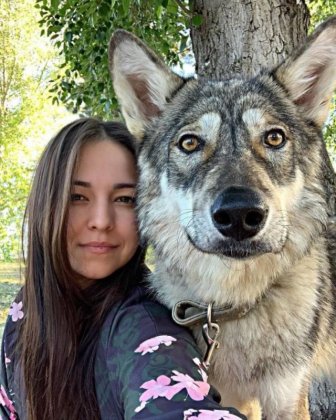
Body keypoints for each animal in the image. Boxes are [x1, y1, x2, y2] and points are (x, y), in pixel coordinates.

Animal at [109, 17, 336, 420]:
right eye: (189, 143)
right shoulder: (230, 396)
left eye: (274, 138)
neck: (232, 307)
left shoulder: (287, 396)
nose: (239, 214)